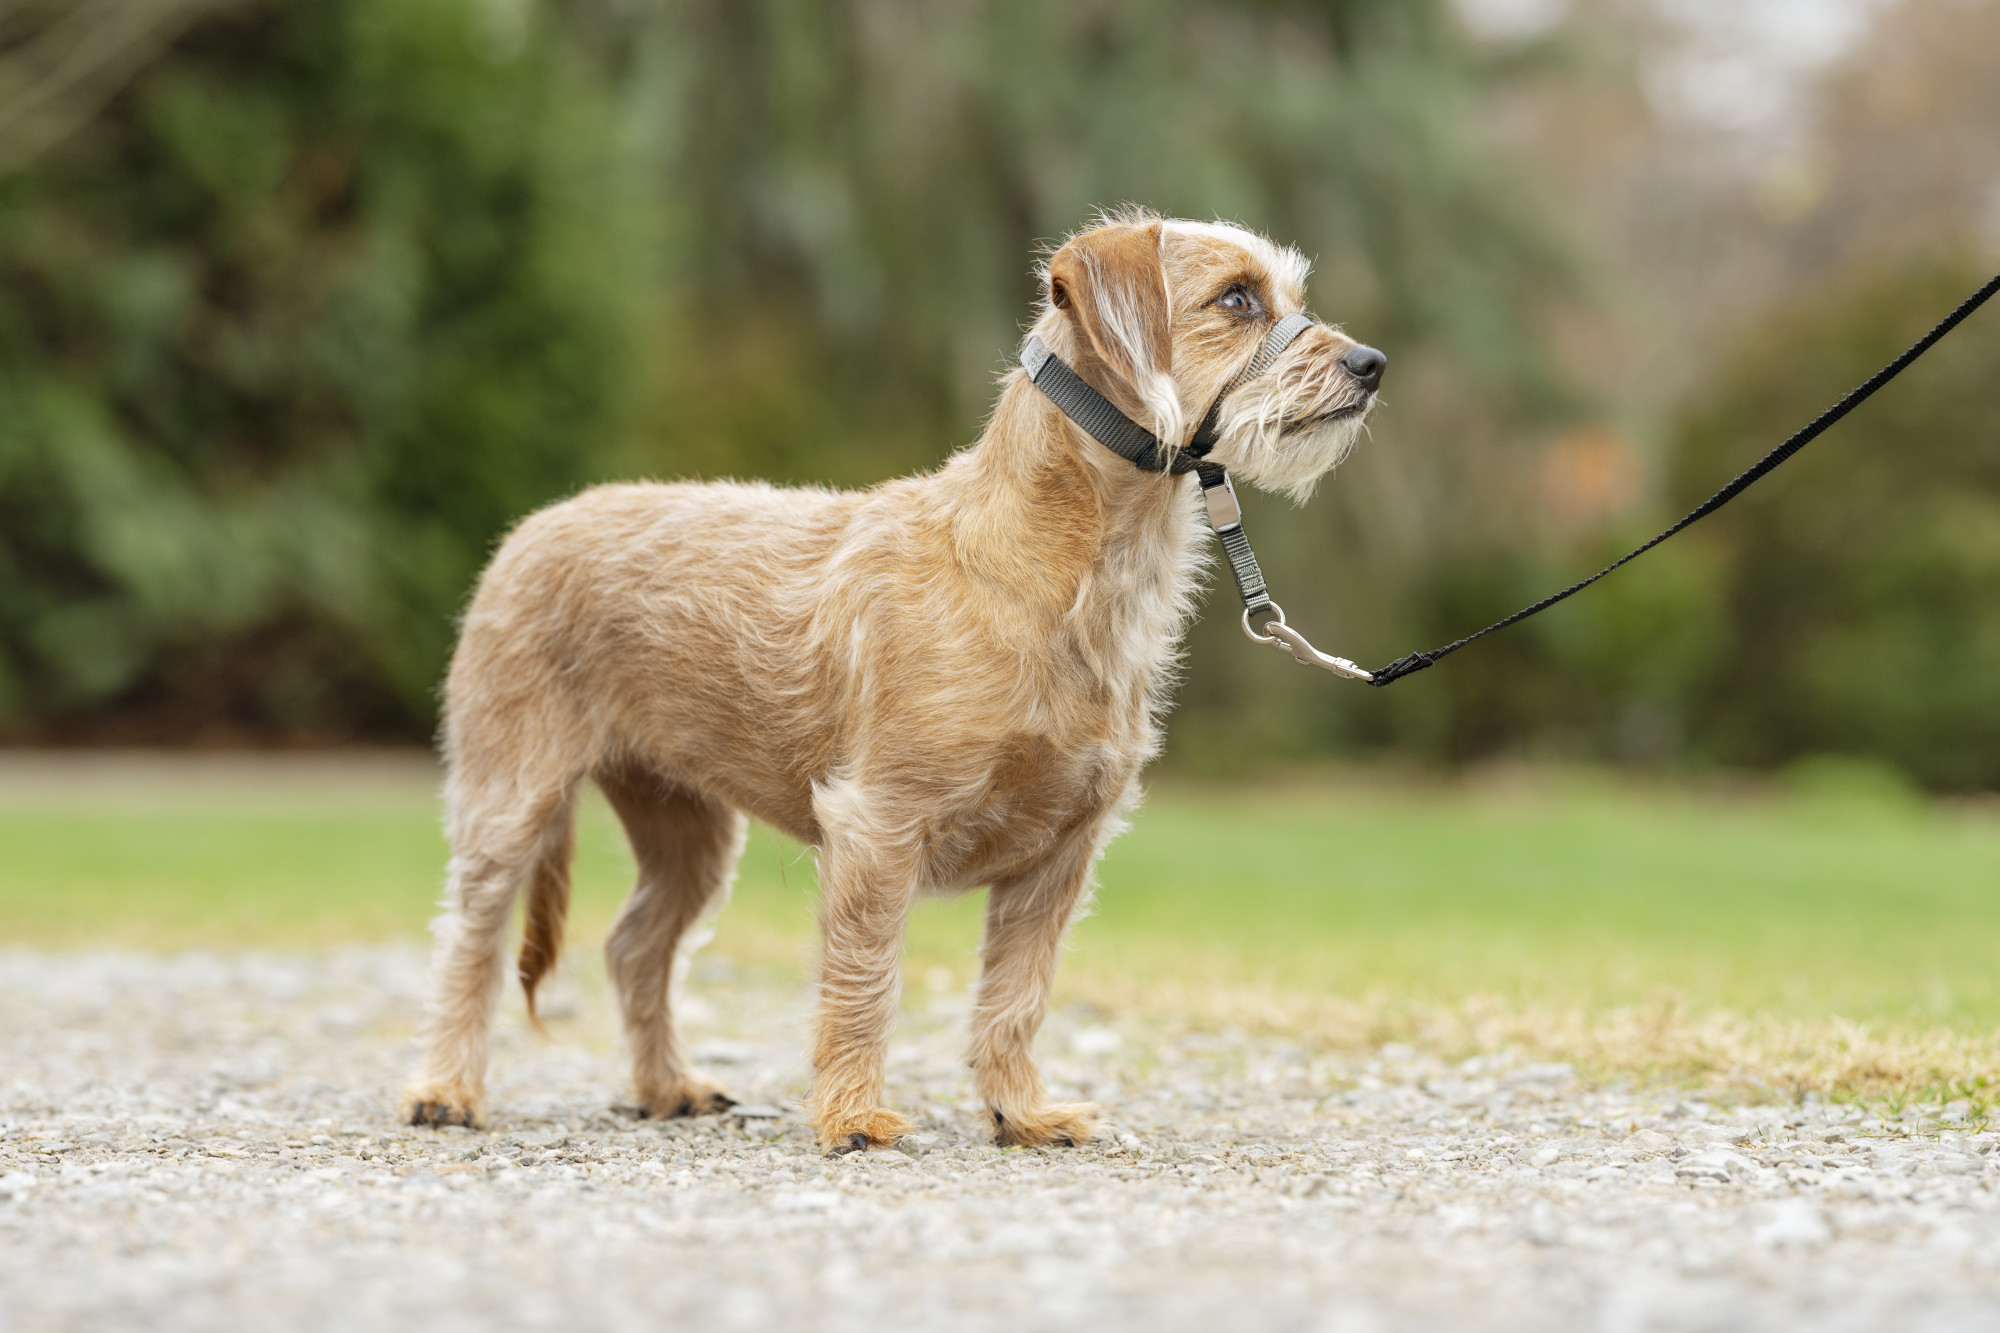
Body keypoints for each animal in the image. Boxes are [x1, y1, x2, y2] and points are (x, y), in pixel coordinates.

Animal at [398, 213, 1384, 1144]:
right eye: (1236, 299)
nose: (1371, 363)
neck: (1047, 568)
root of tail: (533, 527)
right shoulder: (877, 827)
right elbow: (866, 980)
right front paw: (853, 1114)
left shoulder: (1060, 856)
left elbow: (1018, 995)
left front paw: (1023, 1112)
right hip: (511, 799)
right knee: (469, 941)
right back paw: (446, 1087)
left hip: (689, 831)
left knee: (636, 942)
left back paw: (665, 1085)